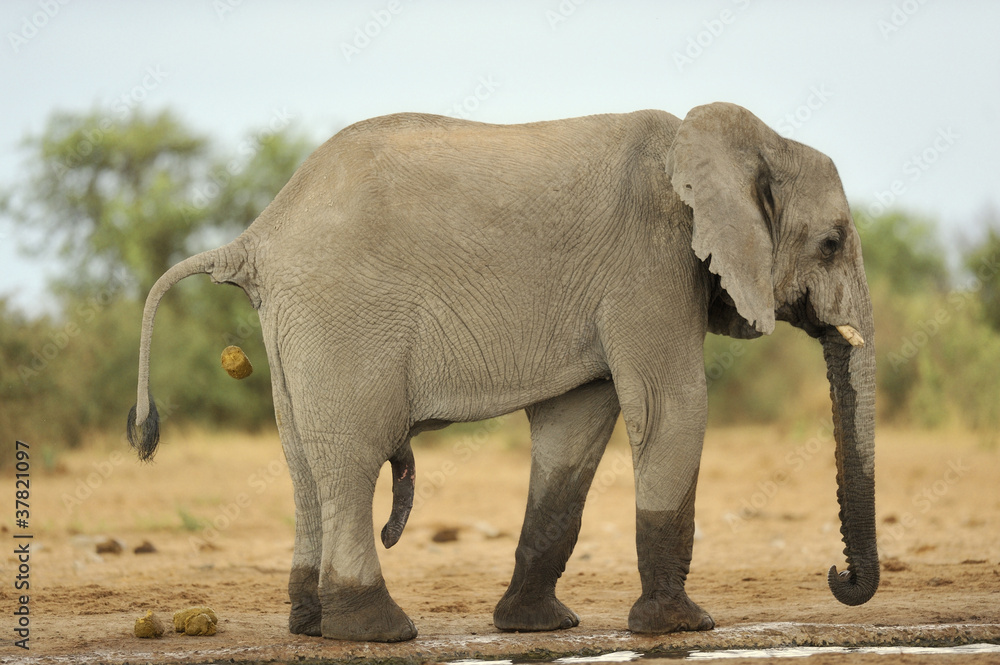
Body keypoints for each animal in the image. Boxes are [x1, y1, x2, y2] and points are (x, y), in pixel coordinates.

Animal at [128, 102, 878, 642]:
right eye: (831, 242)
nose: (836, 575)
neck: (732, 143)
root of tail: (256, 238)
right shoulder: (652, 262)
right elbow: (672, 406)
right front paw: (682, 626)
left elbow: (575, 428)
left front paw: (537, 626)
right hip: (341, 316)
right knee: (350, 457)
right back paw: (377, 631)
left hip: (294, 327)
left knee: (301, 464)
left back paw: (311, 625)